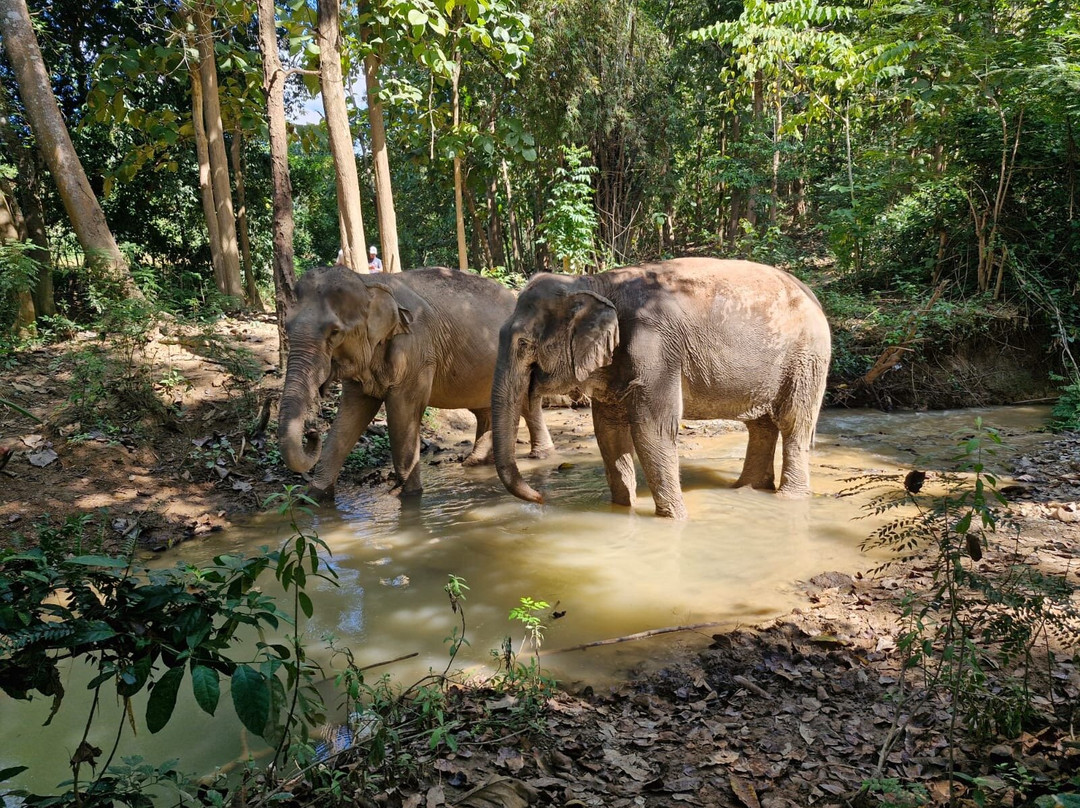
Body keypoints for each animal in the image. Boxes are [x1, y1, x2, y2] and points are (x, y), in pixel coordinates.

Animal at [278, 265, 555, 499]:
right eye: (287, 327)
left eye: (334, 332)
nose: (312, 432)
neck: (367, 282)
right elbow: (351, 414)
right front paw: (313, 498)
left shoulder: (417, 350)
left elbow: (403, 411)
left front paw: (406, 496)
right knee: (483, 409)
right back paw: (475, 462)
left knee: (526, 404)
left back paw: (541, 455)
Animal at [491, 257, 832, 519]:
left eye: (524, 344)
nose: (541, 499)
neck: (594, 282)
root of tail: (812, 294)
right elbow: (608, 431)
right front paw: (622, 509)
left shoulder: (656, 346)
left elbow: (652, 429)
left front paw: (676, 519)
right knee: (760, 425)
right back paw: (747, 489)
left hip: (807, 359)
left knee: (794, 422)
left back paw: (788, 497)